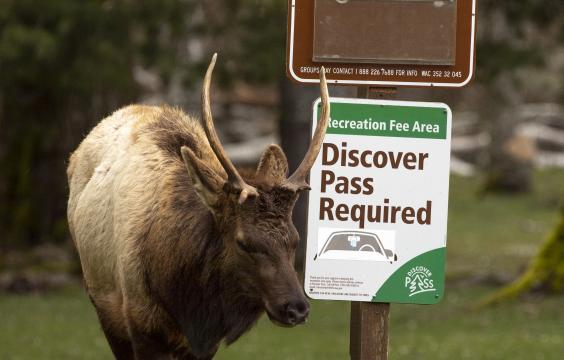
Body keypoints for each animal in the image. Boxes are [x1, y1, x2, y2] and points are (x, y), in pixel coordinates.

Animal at [66, 54, 330, 360]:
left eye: (296, 239)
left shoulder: (204, 345)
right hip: (103, 304)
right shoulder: (140, 323)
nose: (297, 308)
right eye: (243, 242)